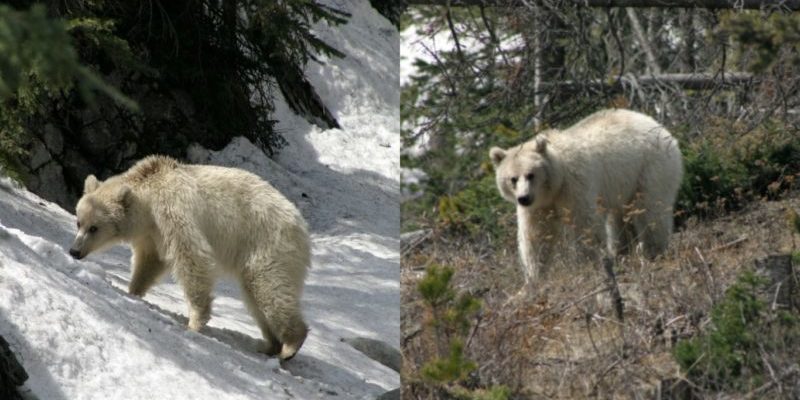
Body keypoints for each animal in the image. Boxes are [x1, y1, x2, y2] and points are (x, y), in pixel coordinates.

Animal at [68, 155, 310, 360]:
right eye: (79, 222)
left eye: (94, 228)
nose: (74, 251)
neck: (150, 190)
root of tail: (300, 224)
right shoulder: (151, 233)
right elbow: (149, 262)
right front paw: (133, 291)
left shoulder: (173, 211)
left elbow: (192, 257)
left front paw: (194, 323)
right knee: (255, 295)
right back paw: (270, 345)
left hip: (267, 244)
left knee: (270, 287)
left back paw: (290, 346)